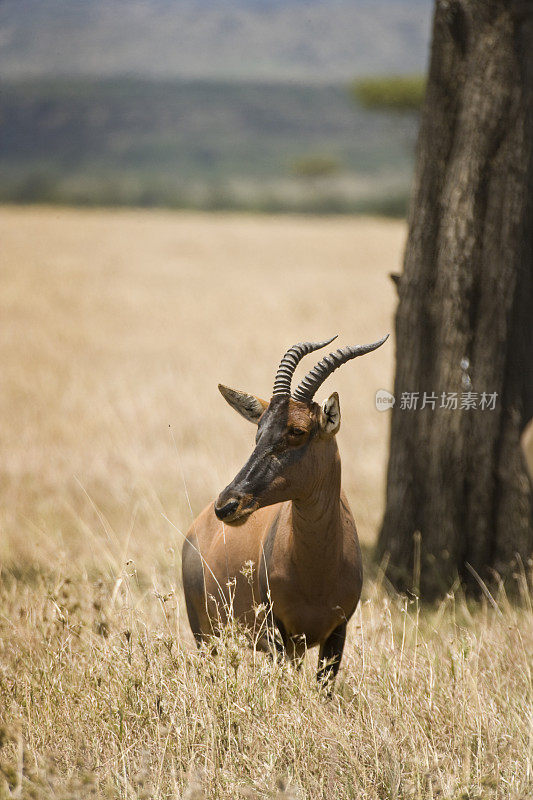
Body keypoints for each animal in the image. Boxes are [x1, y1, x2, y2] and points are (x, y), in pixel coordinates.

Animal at [182, 334, 386, 692]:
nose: (228, 504)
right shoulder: (278, 633)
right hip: (206, 634)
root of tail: (196, 528)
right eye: (259, 430)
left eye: (297, 431)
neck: (317, 572)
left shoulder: (336, 632)